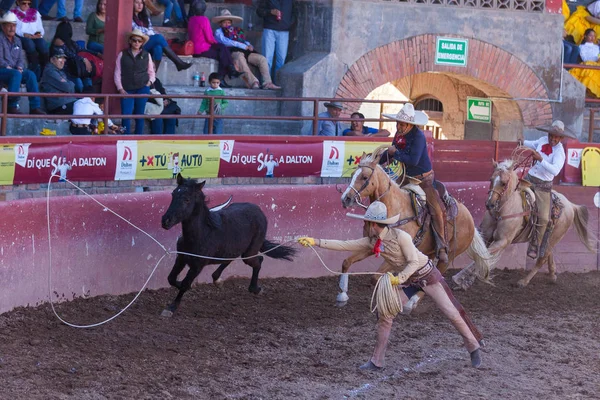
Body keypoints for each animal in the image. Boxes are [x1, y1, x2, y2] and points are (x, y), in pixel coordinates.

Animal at [161, 173, 296, 318]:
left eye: (186, 199)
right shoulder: (181, 258)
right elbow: (171, 278)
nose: (165, 221)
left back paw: (255, 289)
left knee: (258, 260)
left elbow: (185, 284)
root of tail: (259, 210)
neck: (202, 234)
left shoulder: (197, 266)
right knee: (230, 259)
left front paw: (171, 308)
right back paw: (218, 280)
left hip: (249, 252)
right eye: (173, 193)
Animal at [338, 149, 492, 306]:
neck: (394, 210)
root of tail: (469, 218)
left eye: (364, 177)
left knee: (438, 272)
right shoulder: (370, 244)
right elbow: (346, 262)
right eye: (352, 174)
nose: (346, 199)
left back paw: (412, 302)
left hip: (449, 255)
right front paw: (342, 295)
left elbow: (375, 278)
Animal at [454, 157, 596, 288]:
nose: (489, 204)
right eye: (491, 179)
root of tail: (570, 205)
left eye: (504, 183)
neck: (503, 210)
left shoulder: (502, 241)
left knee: (542, 259)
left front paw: (459, 278)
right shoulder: (486, 235)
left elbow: (484, 255)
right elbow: (480, 254)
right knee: (548, 254)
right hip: (548, 237)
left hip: (555, 237)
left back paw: (524, 281)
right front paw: (467, 280)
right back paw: (552, 275)